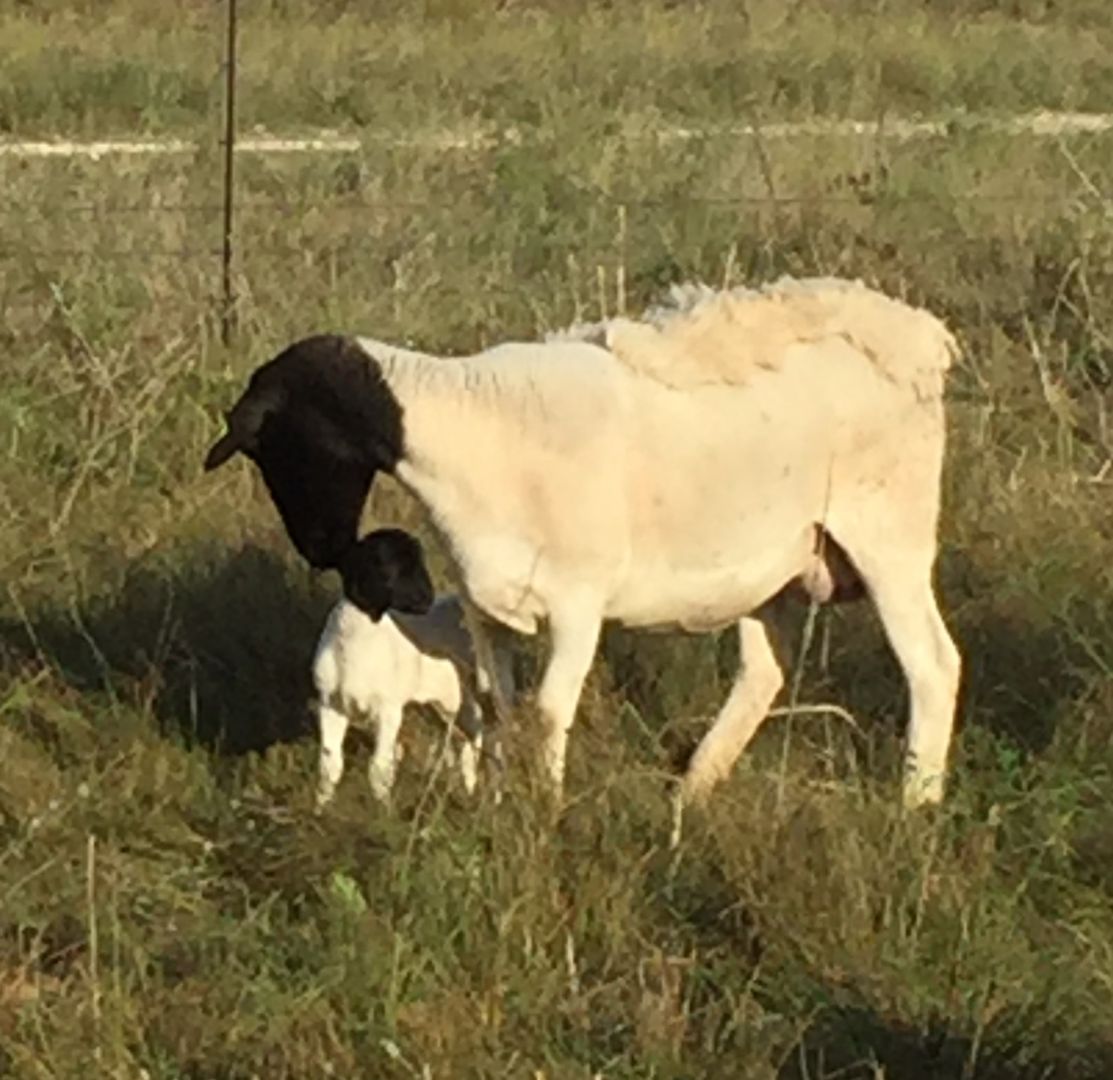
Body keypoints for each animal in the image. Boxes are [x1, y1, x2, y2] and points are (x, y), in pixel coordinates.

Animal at [313, 528, 499, 807]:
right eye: (390, 564)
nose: (427, 599)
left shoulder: (388, 709)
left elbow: (379, 768)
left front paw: (383, 810)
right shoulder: (331, 705)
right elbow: (330, 765)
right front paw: (321, 809)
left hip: (471, 693)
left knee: (481, 734)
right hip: (437, 704)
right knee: (460, 739)